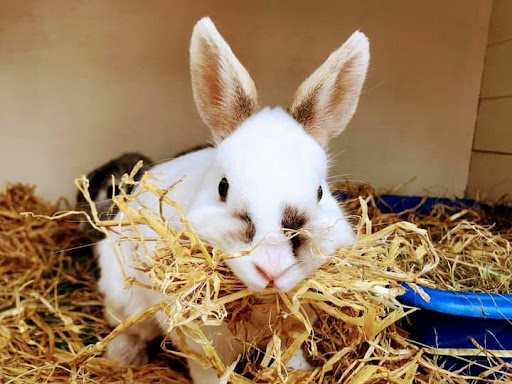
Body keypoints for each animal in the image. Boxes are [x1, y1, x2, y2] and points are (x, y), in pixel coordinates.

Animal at [95, 16, 368, 382]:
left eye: (320, 192)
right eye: (222, 187)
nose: (271, 268)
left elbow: (290, 356)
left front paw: (297, 373)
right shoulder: (200, 343)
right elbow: (209, 371)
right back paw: (124, 358)